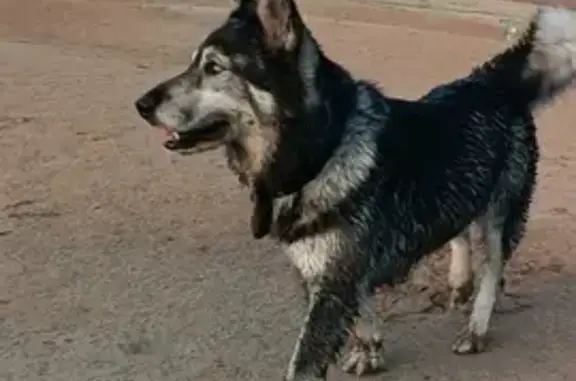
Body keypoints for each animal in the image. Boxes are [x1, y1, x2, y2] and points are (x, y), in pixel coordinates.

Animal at [135, 1, 576, 378]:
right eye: (195, 63)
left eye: (214, 67)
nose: (141, 104)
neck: (322, 151)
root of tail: (490, 80)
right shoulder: (330, 274)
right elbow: (362, 311)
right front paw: (370, 349)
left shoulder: (333, 281)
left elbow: (304, 362)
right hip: (464, 185)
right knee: (462, 232)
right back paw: (458, 281)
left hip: (503, 208)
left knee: (495, 267)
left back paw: (477, 326)